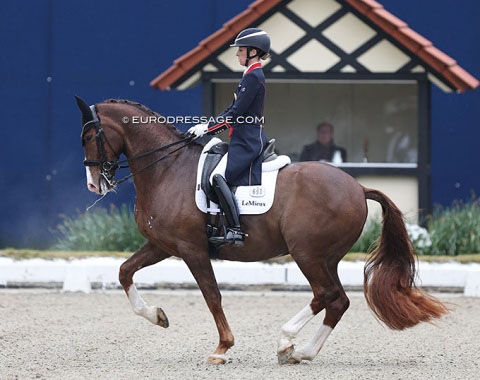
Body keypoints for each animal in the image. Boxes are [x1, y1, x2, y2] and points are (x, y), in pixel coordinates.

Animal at [75, 98, 446, 366]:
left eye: (89, 137)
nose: (94, 185)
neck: (167, 169)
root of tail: (358, 186)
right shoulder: (162, 245)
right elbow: (124, 272)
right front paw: (158, 316)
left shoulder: (192, 249)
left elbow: (212, 296)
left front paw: (222, 348)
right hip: (326, 258)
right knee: (337, 300)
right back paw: (302, 352)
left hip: (307, 253)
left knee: (325, 295)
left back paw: (285, 342)